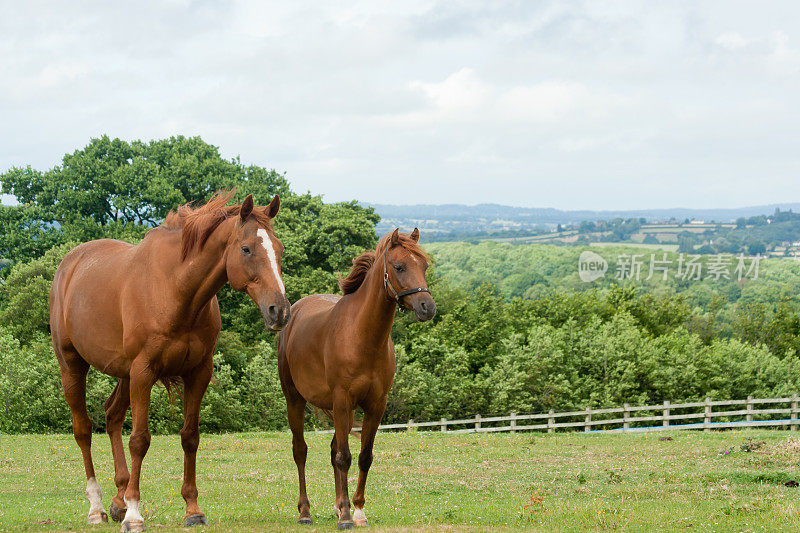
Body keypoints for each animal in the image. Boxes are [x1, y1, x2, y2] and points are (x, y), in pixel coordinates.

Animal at [49, 189, 290, 528]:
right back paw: (97, 507)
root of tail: (69, 265)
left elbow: (190, 437)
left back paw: (118, 499)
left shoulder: (198, 373)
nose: (279, 311)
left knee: (112, 416)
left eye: (279, 249)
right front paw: (135, 514)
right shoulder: (144, 372)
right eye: (246, 248)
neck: (176, 289)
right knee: (83, 430)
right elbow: (139, 440)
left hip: (124, 374)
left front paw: (192, 509)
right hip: (73, 366)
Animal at [278, 228, 434, 528]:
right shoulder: (342, 401)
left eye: (424, 266)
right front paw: (347, 517)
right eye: (399, 266)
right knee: (300, 451)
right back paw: (306, 512)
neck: (363, 337)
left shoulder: (376, 405)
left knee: (333, 450)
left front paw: (357, 510)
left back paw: (339, 506)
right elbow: (344, 457)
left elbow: (363, 457)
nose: (427, 307)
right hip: (295, 400)